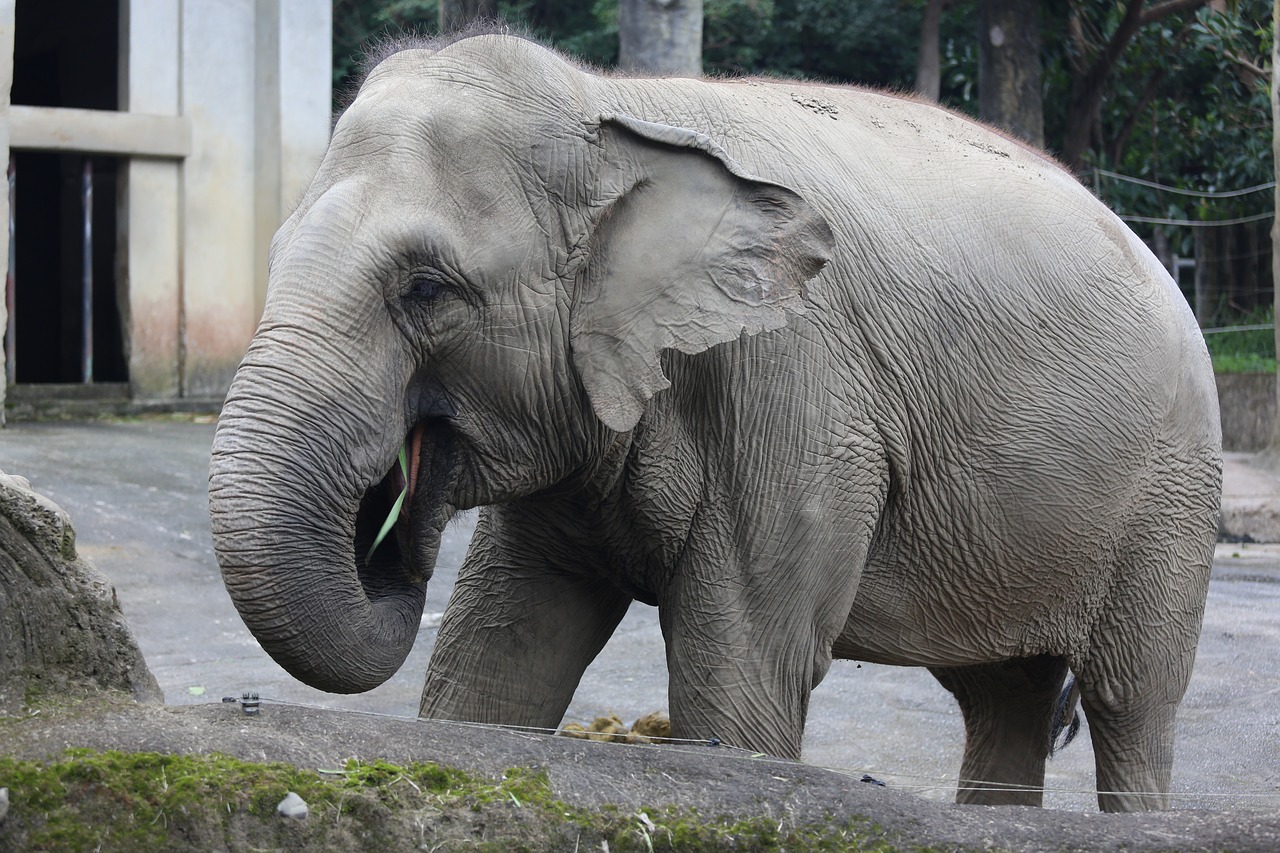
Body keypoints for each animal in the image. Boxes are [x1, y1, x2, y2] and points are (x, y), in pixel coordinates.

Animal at [207, 31, 1218, 809]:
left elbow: (739, 666)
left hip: (1171, 495)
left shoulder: (793, 390)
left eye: (424, 289)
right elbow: (501, 640)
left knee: (1132, 701)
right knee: (1003, 693)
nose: (395, 519)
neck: (614, 108)